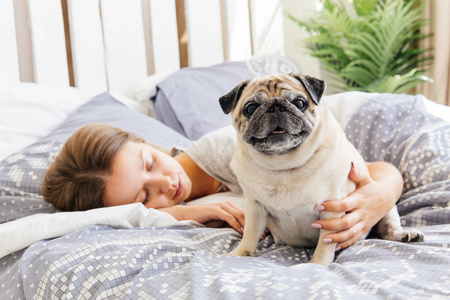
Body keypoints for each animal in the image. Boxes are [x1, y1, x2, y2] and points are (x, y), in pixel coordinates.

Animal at [220, 74, 424, 266]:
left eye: (300, 103)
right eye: (250, 108)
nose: (275, 107)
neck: (283, 165)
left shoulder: (332, 210)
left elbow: (326, 242)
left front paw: (317, 265)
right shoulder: (255, 208)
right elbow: (250, 234)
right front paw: (239, 253)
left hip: (387, 207)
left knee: (388, 228)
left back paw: (404, 235)